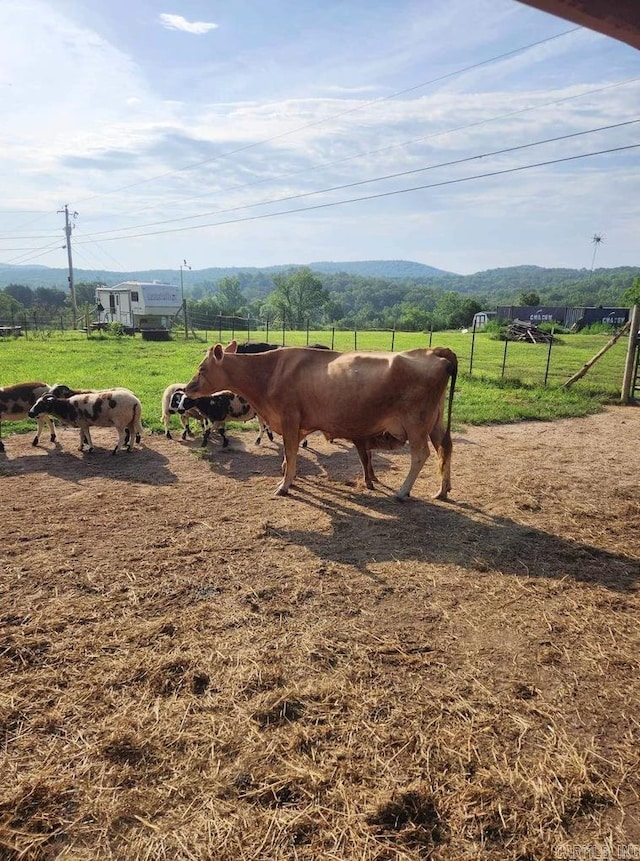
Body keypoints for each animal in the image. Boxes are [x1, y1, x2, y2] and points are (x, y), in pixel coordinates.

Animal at [182, 340, 458, 500]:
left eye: (202, 368)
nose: (187, 388)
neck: (269, 374)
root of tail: (435, 352)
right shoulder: (294, 424)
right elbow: (289, 454)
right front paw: (287, 476)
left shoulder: (290, 418)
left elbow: (290, 452)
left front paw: (285, 484)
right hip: (434, 421)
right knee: (445, 447)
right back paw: (442, 490)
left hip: (416, 423)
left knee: (421, 454)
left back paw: (403, 491)